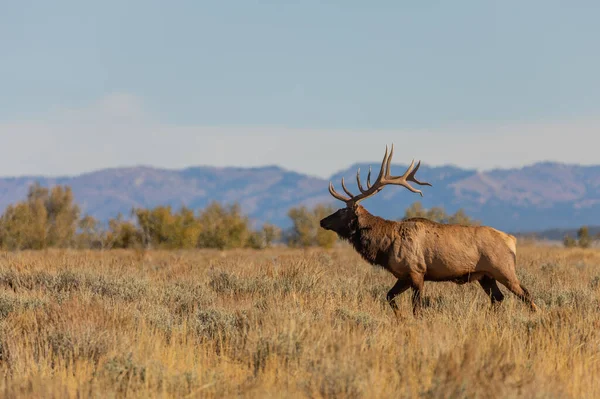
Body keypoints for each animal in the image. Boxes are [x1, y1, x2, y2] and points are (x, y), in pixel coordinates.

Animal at [318, 145, 540, 318]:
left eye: (342, 211)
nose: (322, 221)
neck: (384, 245)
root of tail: (512, 240)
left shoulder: (417, 271)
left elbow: (417, 308)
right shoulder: (404, 275)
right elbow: (389, 296)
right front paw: (400, 318)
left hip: (504, 270)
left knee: (527, 295)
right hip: (485, 276)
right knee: (498, 298)